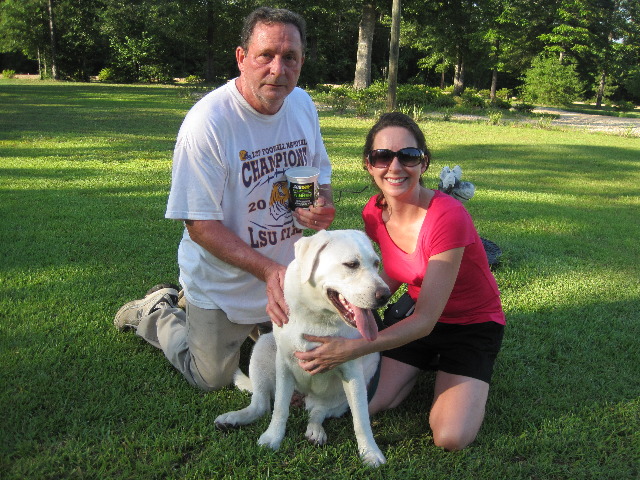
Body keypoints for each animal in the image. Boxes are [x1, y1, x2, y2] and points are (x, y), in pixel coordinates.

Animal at [215, 229, 391, 467]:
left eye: (376, 263)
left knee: (318, 412)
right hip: (263, 346)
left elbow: (361, 419)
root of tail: (303, 398)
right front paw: (273, 437)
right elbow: (280, 408)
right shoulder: (284, 364)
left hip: (353, 384)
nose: (385, 295)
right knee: (261, 405)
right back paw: (233, 418)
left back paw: (315, 431)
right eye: (351, 264)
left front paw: (370, 452)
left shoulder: (352, 372)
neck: (318, 316)